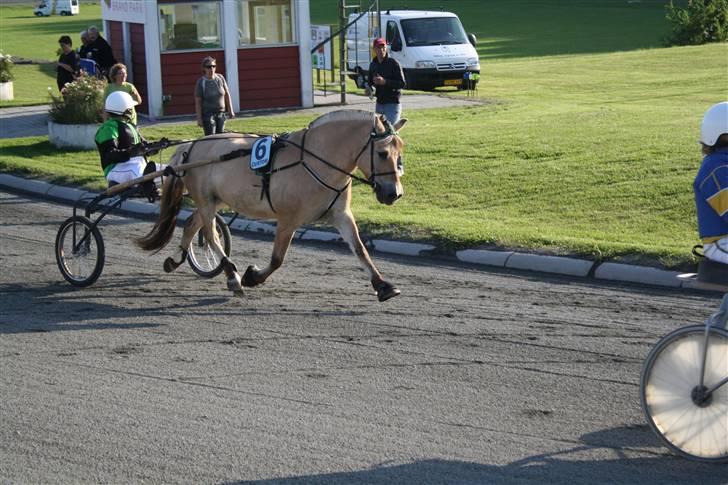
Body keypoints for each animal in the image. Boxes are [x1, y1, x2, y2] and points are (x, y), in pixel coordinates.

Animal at [136, 109, 406, 300]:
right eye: (382, 153)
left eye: (400, 151)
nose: (394, 193)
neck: (315, 160)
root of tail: (191, 145)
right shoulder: (288, 219)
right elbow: (277, 259)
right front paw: (252, 277)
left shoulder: (340, 214)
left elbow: (360, 249)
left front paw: (383, 285)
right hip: (206, 200)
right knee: (211, 235)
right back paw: (231, 274)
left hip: (214, 199)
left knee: (194, 223)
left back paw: (175, 259)